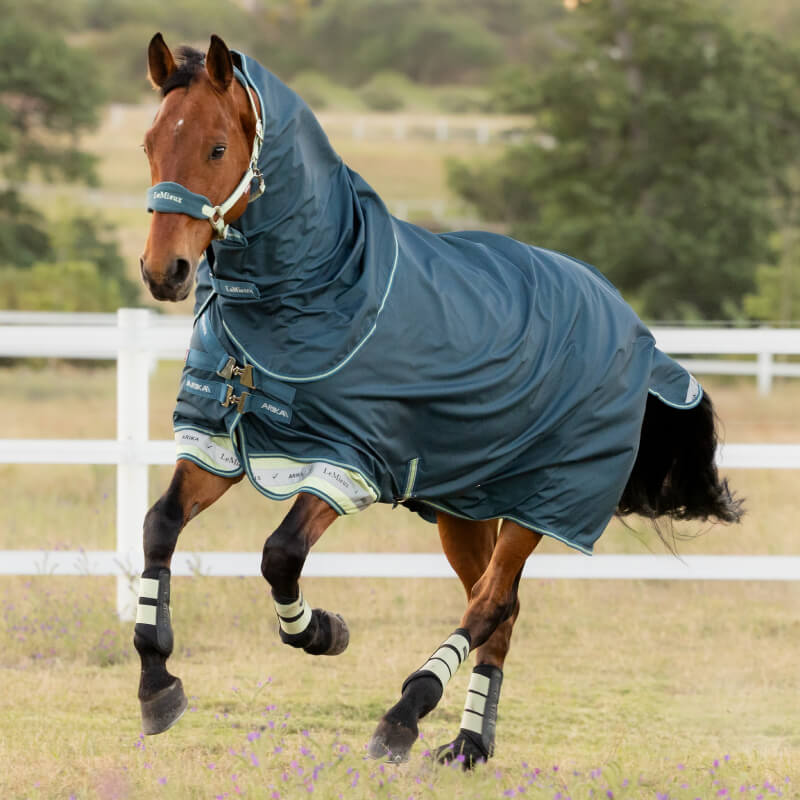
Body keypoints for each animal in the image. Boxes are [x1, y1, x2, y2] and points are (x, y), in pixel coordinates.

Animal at [136, 32, 743, 766]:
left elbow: (279, 554)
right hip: (466, 507)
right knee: (500, 612)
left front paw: (323, 631)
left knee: (488, 606)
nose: (163, 271)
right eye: (149, 144)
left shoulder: (349, 461)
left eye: (217, 149)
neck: (322, 291)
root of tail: (632, 326)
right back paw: (468, 744)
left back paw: (406, 713)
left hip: (541, 505)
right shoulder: (220, 443)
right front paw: (157, 683)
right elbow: (161, 525)